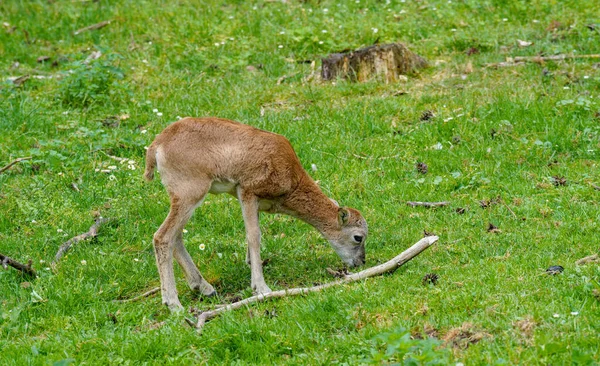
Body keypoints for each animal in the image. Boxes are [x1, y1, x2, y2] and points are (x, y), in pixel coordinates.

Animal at [145, 118, 368, 312]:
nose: (361, 262)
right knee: (163, 237)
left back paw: (205, 288)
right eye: (358, 237)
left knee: (176, 237)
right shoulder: (247, 192)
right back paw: (174, 304)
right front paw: (261, 288)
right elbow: (254, 236)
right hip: (190, 194)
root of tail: (157, 145)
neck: (291, 177)